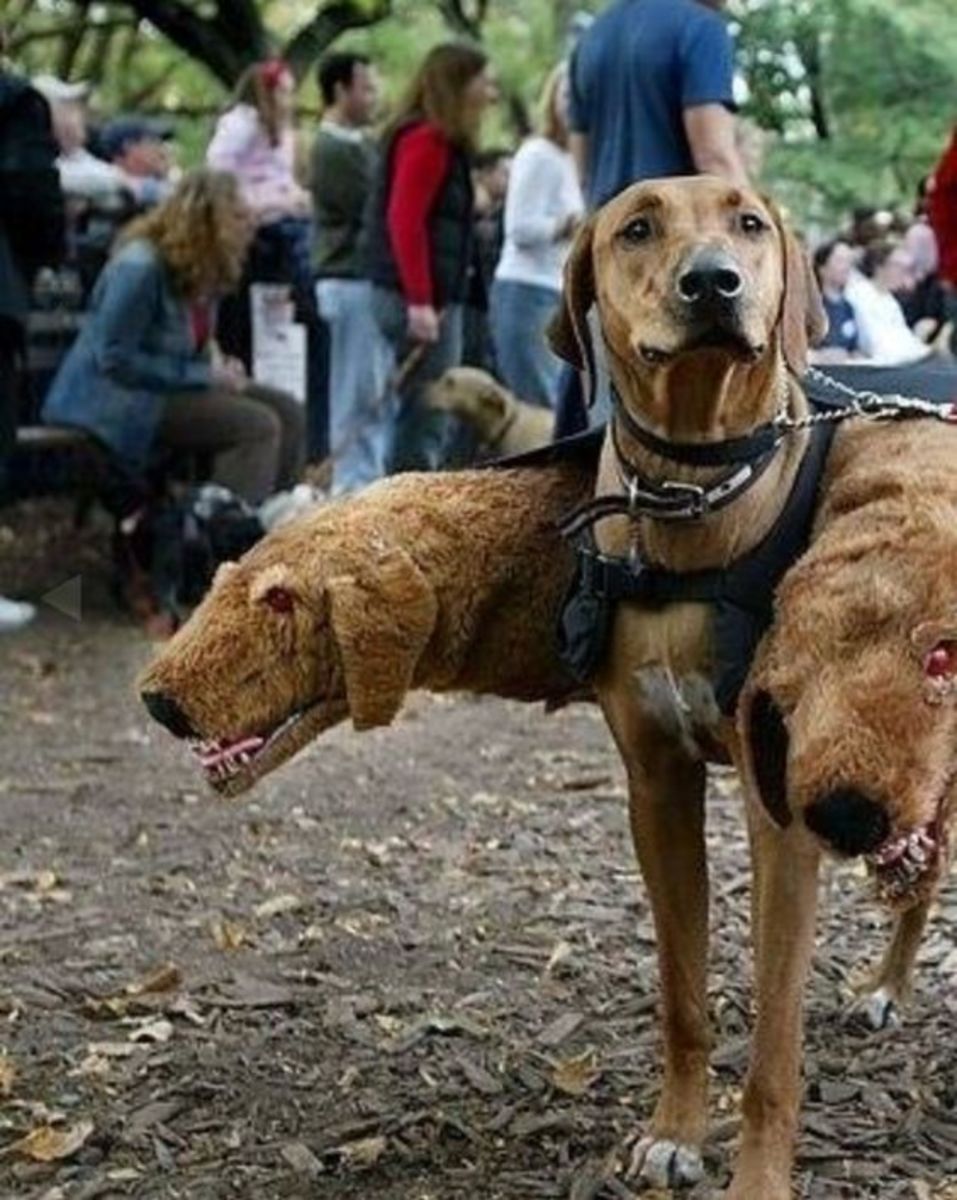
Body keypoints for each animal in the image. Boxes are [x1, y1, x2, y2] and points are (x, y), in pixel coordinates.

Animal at [546, 174, 829, 1195]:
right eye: (635, 229)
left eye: (748, 223)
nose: (713, 282)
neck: (691, 487)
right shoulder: (655, 786)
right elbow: (679, 990)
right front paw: (673, 1129)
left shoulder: (778, 808)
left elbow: (774, 1040)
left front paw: (757, 1178)